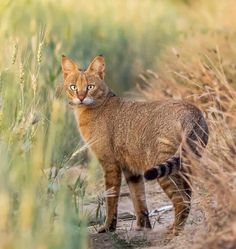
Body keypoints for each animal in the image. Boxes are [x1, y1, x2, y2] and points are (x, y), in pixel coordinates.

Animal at [60, 54, 208, 235]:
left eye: (90, 86)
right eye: (73, 87)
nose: (80, 97)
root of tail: (194, 111)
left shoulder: (110, 164)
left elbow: (111, 198)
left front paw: (108, 227)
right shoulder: (131, 169)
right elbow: (139, 200)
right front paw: (142, 227)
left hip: (163, 166)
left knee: (182, 199)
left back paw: (174, 232)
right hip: (185, 164)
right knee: (188, 194)